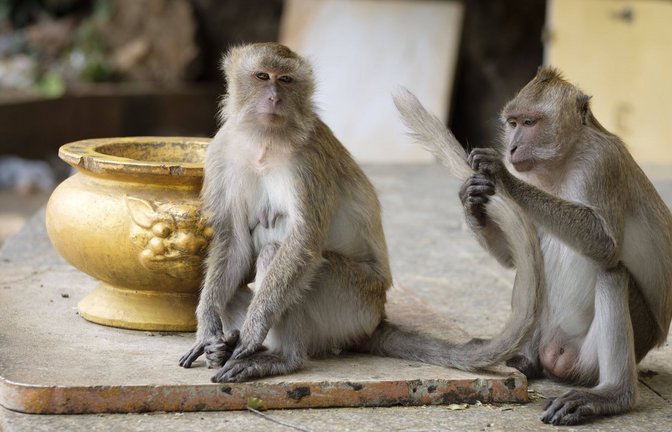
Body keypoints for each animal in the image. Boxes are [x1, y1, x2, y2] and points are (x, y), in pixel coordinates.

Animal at [179, 42, 545, 384]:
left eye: (285, 80)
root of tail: (375, 322)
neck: (264, 143)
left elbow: (303, 242)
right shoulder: (221, 151)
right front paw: (208, 327)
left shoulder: (308, 158)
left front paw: (252, 333)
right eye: (261, 77)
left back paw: (284, 358)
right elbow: (233, 241)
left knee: (279, 253)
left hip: (353, 302)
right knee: (238, 279)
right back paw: (231, 342)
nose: (274, 98)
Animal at [393, 67, 672, 425]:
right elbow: (513, 257)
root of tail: (555, 356)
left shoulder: (601, 164)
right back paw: (523, 361)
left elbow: (606, 245)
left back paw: (612, 394)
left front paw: (502, 175)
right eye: (512, 123)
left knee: (613, 272)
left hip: (594, 357)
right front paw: (472, 199)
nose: (512, 147)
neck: (563, 161)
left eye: (529, 123)